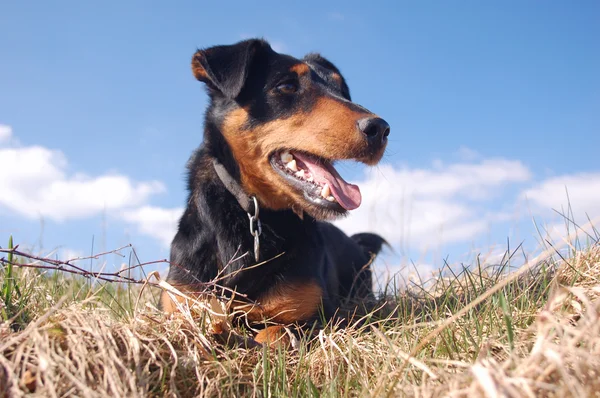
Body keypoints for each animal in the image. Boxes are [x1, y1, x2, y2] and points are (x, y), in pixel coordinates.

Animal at [162, 38, 392, 344]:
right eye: (286, 86)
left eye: (340, 90)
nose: (381, 129)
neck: (253, 213)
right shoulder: (182, 302)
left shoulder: (319, 317)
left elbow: (273, 333)